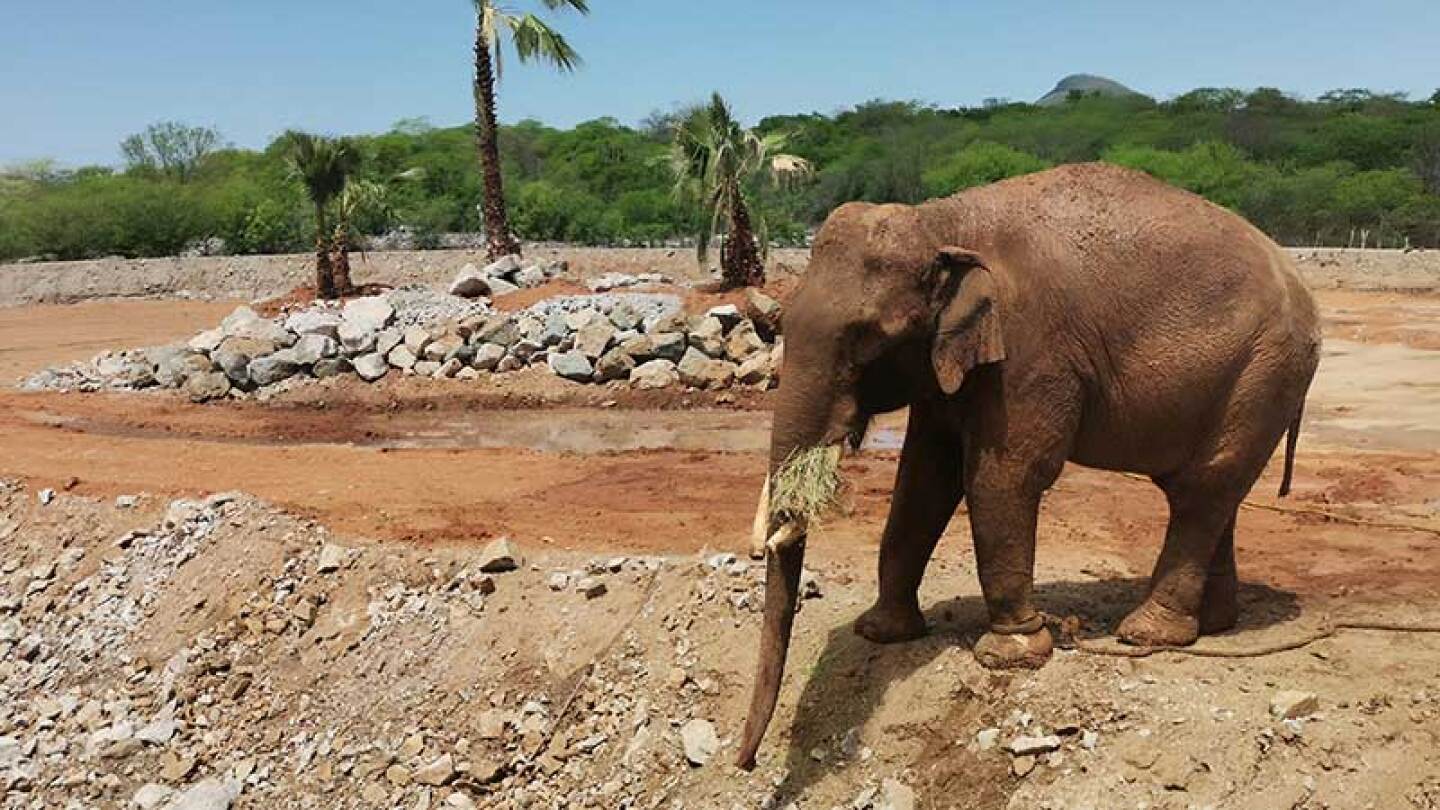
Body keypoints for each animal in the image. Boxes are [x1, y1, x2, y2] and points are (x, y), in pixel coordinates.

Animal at [734, 163, 1321, 769]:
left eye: (869, 337)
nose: (746, 760)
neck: (943, 221)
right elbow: (923, 478)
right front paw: (881, 632)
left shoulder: (1028, 354)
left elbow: (1001, 477)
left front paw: (1011, 653)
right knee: (1213, 492)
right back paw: (1216, 624)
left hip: (1266, 370)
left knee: (1201, 493)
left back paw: (1146, 637)